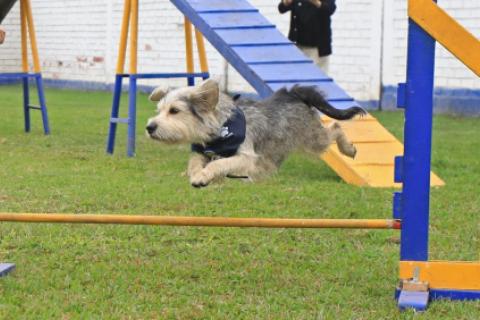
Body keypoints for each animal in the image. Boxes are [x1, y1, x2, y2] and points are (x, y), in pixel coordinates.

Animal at [145, 79, 364, 188]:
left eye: (174, 111)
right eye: (159, 110)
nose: (150, 127)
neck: (220, 128)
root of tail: (291, 94)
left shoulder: (246, 156)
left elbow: (218, 163)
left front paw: (203, 176)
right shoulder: (201, 152)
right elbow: (195, 164)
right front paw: (199, 174)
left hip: (313, 139)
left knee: (336, 127)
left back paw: (348, 148)